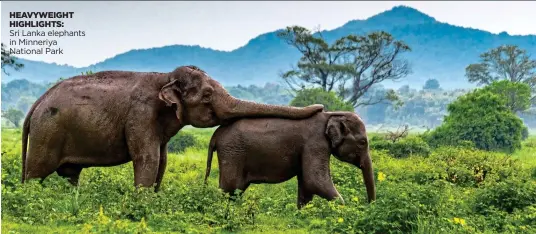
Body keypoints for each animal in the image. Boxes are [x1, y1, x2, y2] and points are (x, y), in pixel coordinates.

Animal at [19, 65, 322, 191]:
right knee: (37, 172)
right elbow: (148, 159)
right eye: (207, 96)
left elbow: (162, 162)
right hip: (48, 133)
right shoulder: (141, 115)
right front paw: (141, 202)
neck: (164, 77)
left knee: (70, 175)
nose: (320, 107)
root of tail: (36, 104)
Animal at [205, 111, 376, 208]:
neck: (331, 115)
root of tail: (216, 134)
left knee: (234, 191)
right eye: (363, 142)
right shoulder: (315, 143)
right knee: (229, 189)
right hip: (232, 153)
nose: (369, 206)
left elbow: (306, 184)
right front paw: (345, 212)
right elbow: (315, 181)